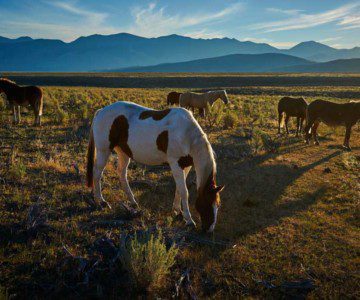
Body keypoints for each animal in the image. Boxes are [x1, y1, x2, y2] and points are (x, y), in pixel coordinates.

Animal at [86, 101, 224, 232]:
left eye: (217, 205)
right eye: (207, 203)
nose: (209, 230)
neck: (187, 135)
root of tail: (100, 111)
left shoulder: (186, 166)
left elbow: (179, 189)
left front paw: (177, 211)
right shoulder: (175, 164)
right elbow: (184, 191)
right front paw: (189, 220)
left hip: (123, 152)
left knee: (121, 174)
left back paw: (133, 202)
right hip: (104, 150)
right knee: (97, 173)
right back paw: (101, 201)